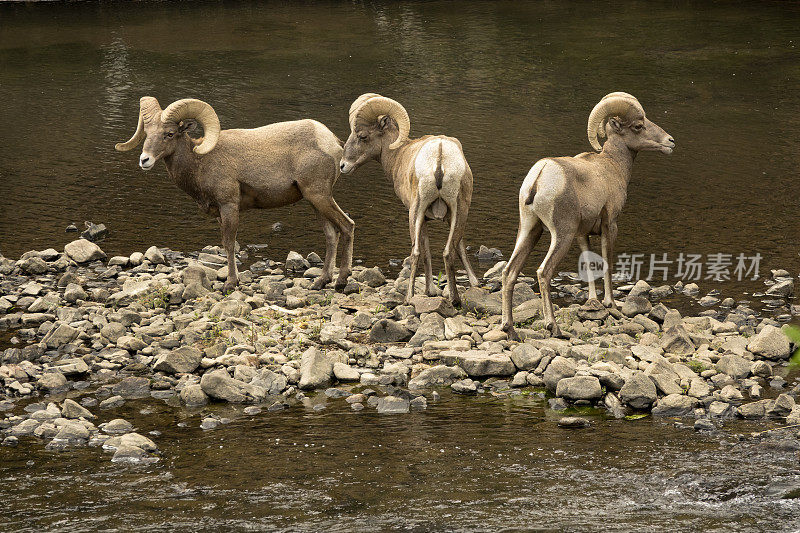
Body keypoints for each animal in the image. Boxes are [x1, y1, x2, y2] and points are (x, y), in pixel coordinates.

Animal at [115, 95, 354, 290]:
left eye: (170, 134)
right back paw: (321, 281)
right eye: (147, 133)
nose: (144, 160)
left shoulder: (229, 206)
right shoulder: (220, 213)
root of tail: (333, 143)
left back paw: (341, 282)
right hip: (315, 200)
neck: (200, 162)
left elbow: (229, 245)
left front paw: (230, 283)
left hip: (319, 196)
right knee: (331, 234)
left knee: (347, 226)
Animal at [336, 93, 476, 306]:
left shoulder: (422, 217)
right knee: (449, 252)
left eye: (363, 136)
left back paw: (409, 298)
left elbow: (425, 252)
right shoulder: (451, 217)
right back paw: (455, 300)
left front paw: (430, 291)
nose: (343, 166)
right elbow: (459, 247)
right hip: (460, 211)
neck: (400, 155)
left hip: (416, 212)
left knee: (416, 252)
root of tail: (440, 155)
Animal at [500, 91, 676, 338]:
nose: (670, 141)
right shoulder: (610, 225)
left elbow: (590, 266)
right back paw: (553, 327)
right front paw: (611, 305)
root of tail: (540, 175)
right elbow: (607, 263)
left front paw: (594, 303)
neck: (612, 166)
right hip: (561, 235)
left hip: (529, 230)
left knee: (509, 272)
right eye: (638, 126)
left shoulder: (582, 234)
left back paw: (510, 330)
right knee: (544, 272)